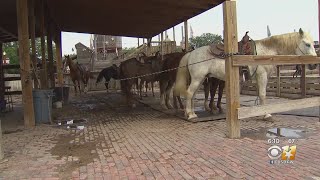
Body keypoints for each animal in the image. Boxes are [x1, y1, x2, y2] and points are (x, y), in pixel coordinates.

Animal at [175, 28, 318, 119]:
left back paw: (191, 112)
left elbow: (259, 95)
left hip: (201, 79)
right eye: (307, 44)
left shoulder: (257, 77)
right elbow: (263, 95)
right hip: (197, 78)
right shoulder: (262, 76)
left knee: (192, 94)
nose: (314, 64)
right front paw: (266, 114)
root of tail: (190, 53)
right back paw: (190, 115)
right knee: (189, 93)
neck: (265, 52)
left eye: (312, 43)